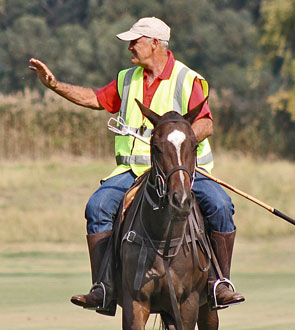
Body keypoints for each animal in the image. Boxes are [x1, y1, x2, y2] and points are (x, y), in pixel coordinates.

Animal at [115, 98, 220, 330]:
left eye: (195, 145)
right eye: (156, 146)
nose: (180, 200)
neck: (162, 239)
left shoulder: (188, 303)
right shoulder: (135, 303)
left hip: (206, 308)